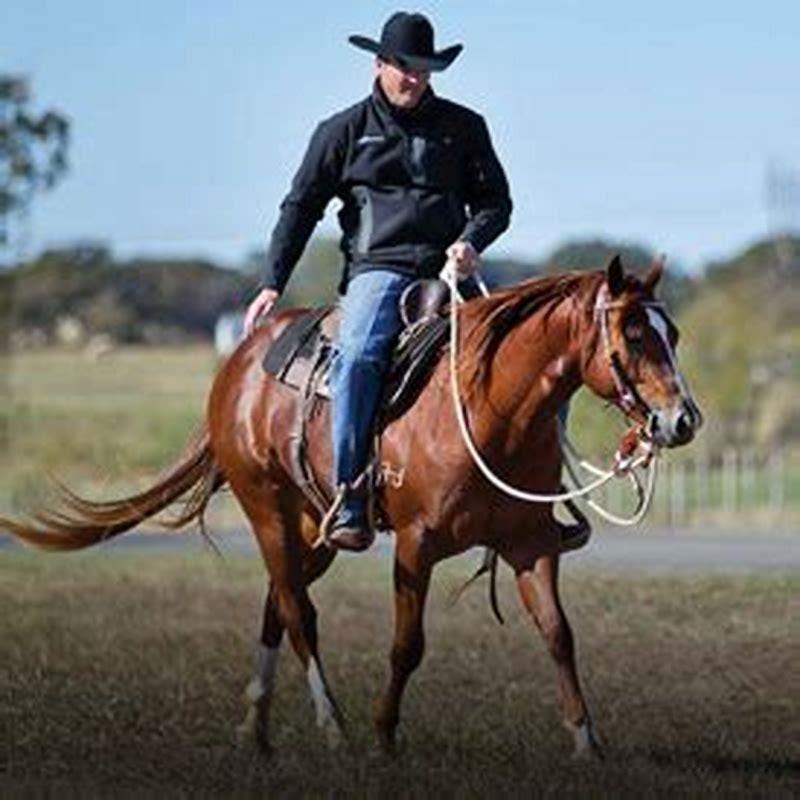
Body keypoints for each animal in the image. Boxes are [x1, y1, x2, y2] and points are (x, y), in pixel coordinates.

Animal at [0, 255, 702, 758]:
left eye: (673, 333)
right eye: (633, 335)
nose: (683, 419)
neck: (489, 410)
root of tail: (240, 364)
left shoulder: (529, 545)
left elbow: (559, 634)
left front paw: (585, 741)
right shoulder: (417, 545)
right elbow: (406, 644)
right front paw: (384, 733)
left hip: (316, 530)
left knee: (276, 604)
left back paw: (255, 727)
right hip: (270, 514)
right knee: (297, 612)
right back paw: (332, 724)